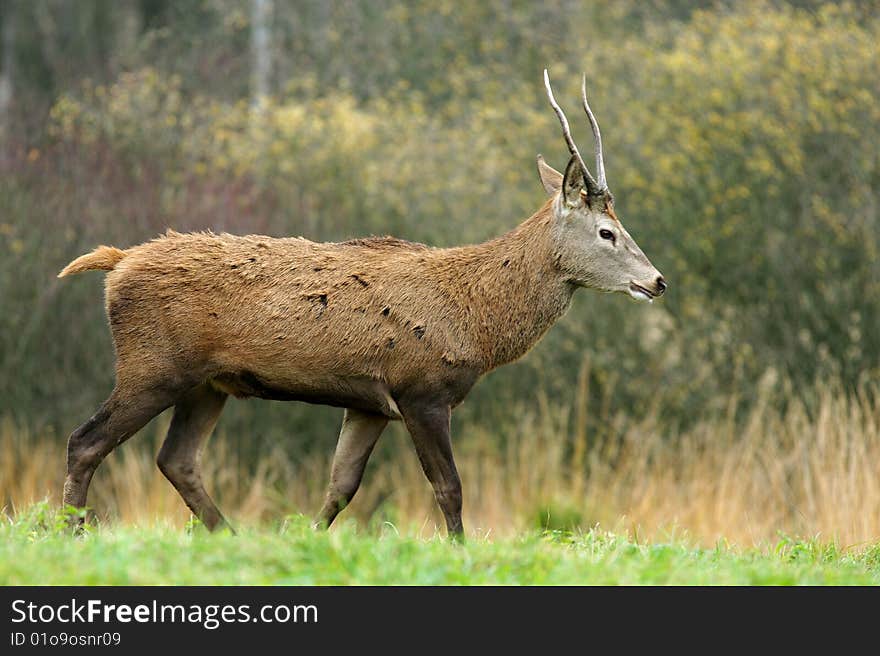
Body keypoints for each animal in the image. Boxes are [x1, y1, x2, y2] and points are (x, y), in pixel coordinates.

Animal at [58, 70, 664, 540]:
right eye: (607, 231)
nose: (657, 281)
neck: (475, 320)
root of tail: (117, 263)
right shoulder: (421, 389)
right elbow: (449, 488)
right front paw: (460, 551)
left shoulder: (370, 402)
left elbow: (341, 487)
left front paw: (303, 540)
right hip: (153, 364)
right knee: (86, 441)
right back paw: (69, 532)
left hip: (208, 383)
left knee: (177, 459)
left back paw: (227, 536)